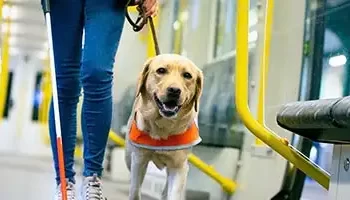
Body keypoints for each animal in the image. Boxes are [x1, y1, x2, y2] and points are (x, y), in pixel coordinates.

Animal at [125, 53, 202, 200]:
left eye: (187, 75)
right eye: (161, 70)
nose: (174, 90)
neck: (163, 125)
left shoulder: (179, 167)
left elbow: (174, 194)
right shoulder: (139, 160)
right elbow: (135, 191)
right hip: (128, 157)